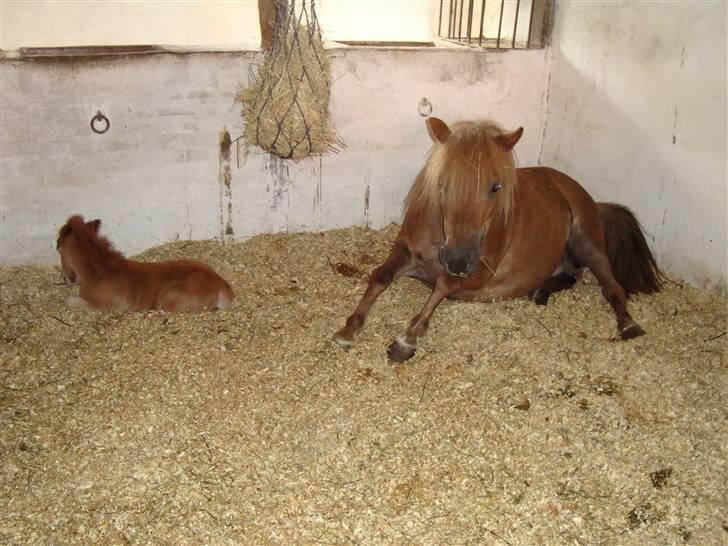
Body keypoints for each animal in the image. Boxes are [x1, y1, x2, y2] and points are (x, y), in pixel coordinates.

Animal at [57, 216, 233, 312]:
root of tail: (221, 286)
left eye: (58, 248)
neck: (100, 271)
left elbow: (69, 301)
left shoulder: (105, 306)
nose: (66, 279)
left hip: (167, 304)